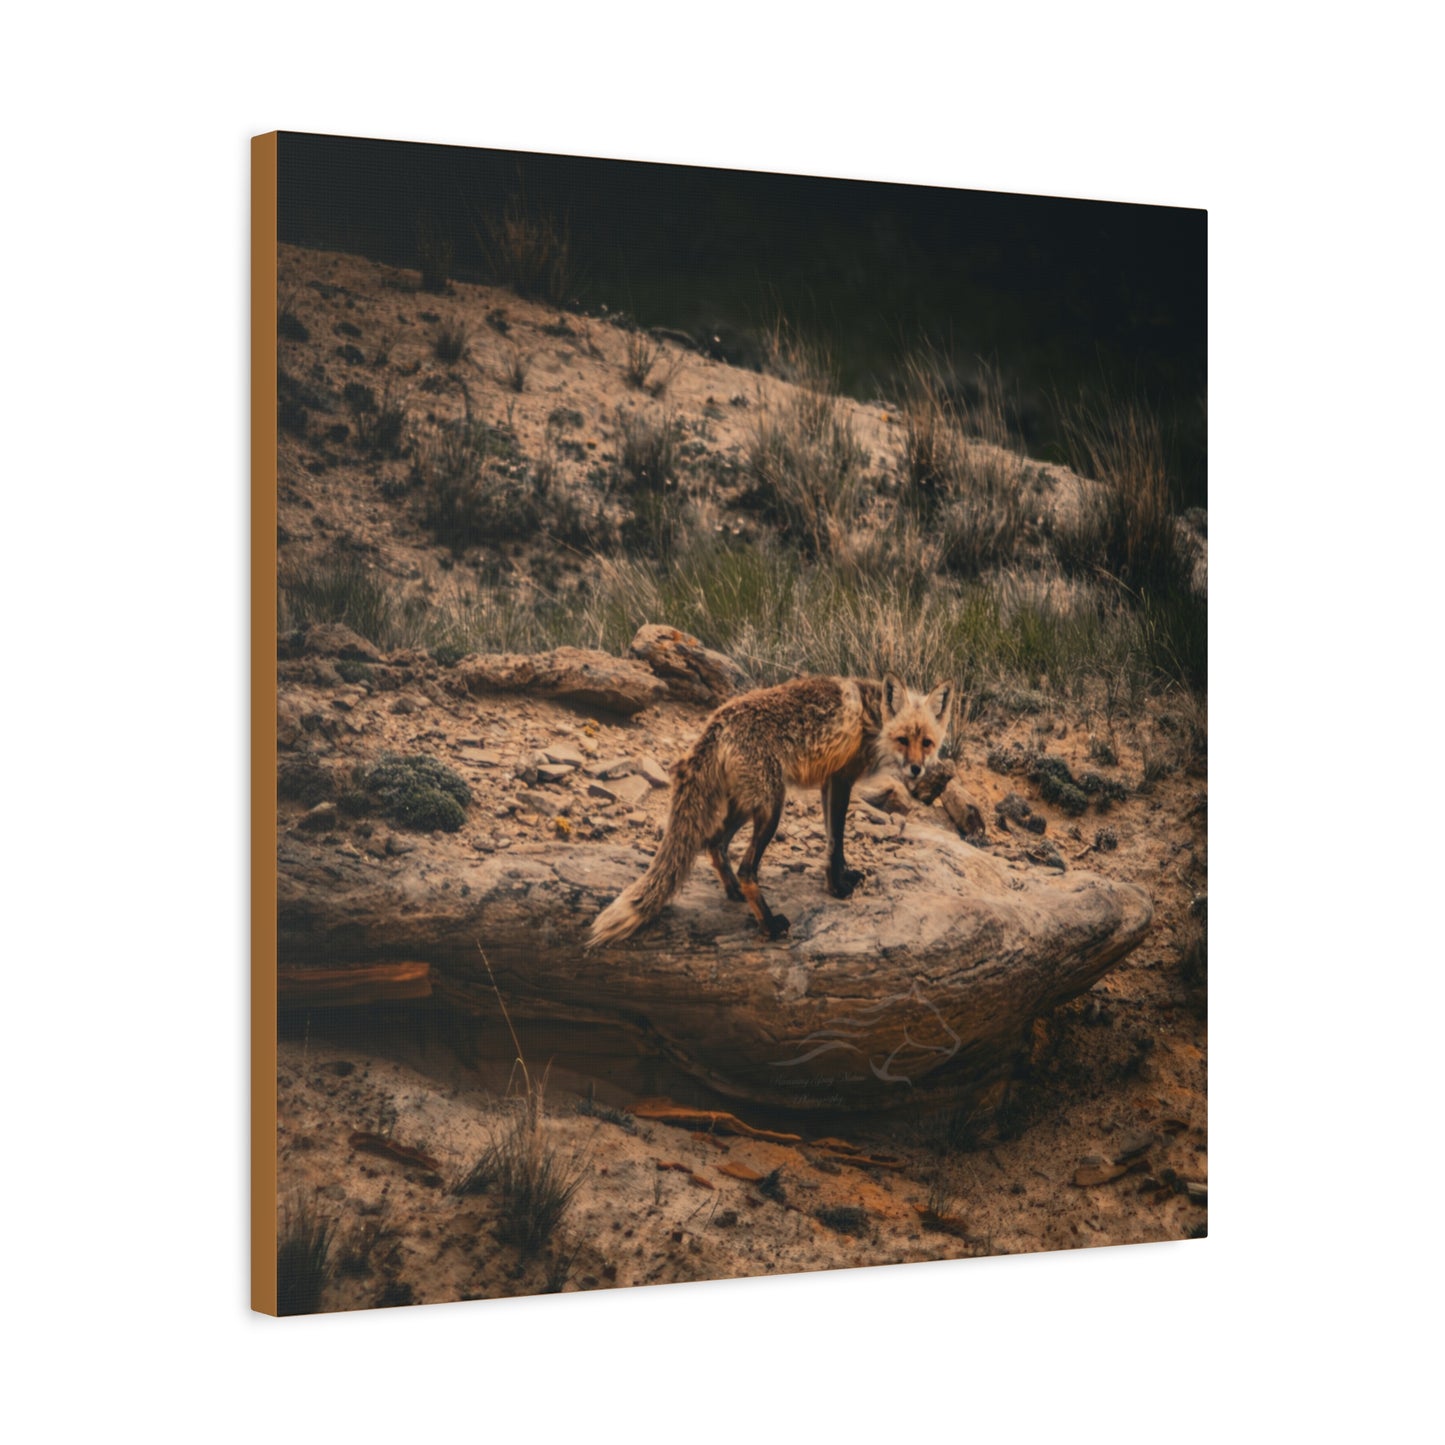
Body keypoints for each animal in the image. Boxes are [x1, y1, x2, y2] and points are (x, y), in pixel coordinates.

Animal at [587, 672, 953, 947]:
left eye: (927, 742)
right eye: (903, 739)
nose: (917, 770)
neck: (873, 719)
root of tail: (717, 722)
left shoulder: (828, 783)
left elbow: (832, 842)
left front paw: (842, 877)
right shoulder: (841, 779)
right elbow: (836, 841)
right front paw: (837, 888)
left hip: (746, 806)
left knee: (714, 843)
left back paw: (733, 892)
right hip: (772, 807)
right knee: (747, 869)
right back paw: (769, 924)